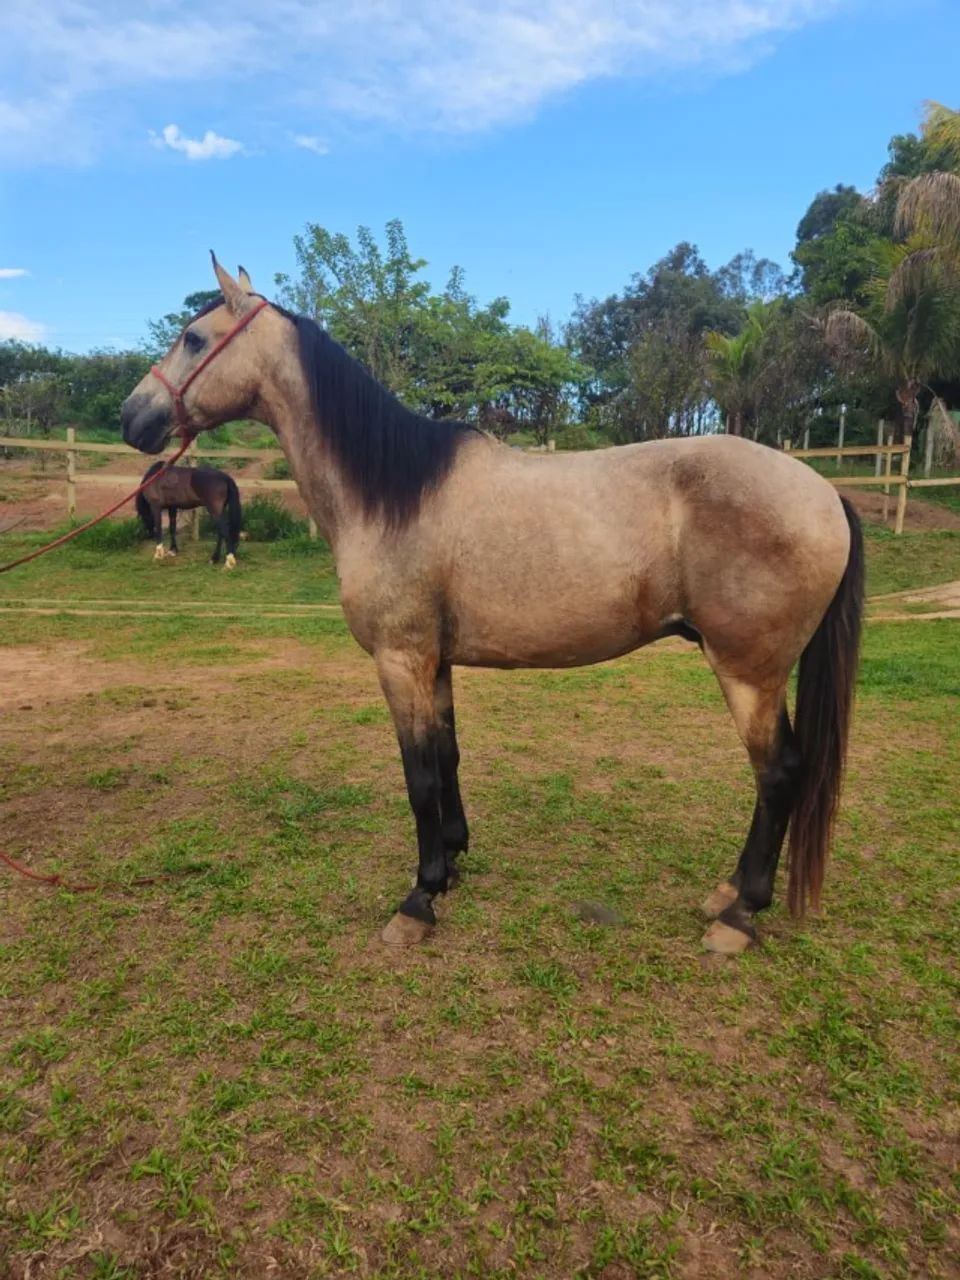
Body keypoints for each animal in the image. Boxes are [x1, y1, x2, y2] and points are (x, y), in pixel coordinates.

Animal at [120, 258, 864, 956]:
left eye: (194, 338)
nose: (133, 417)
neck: (392, 492)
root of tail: (823, 492)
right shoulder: (435, 662)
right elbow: (447, 757)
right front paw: (452, 861)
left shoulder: (400, 660)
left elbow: (418, 775)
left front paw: (419, 899)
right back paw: (728, 892)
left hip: (747, 672)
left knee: (779, 774)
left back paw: (741, 916)